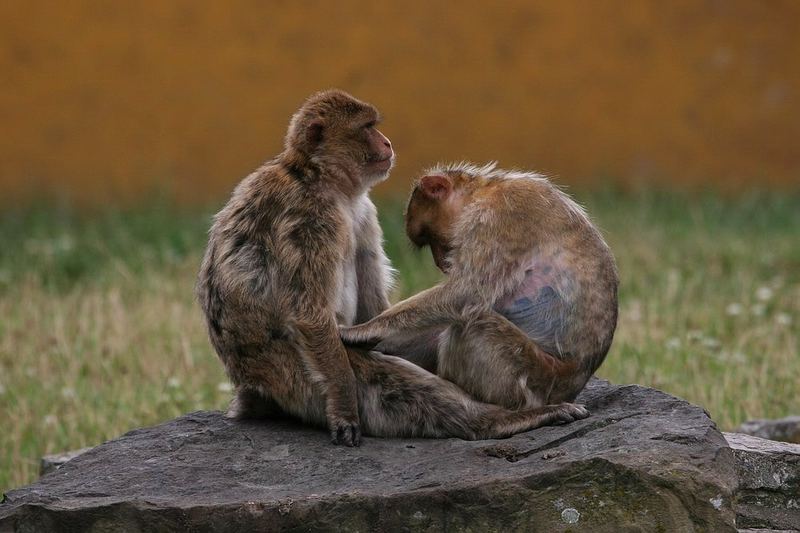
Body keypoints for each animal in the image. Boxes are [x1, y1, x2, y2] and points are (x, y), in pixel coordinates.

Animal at [197, 91, 592, 444]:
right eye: (367, 127)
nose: (387, 142)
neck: (318, 177)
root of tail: (252, 386)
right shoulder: (309, 217)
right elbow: (309, 314)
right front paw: (344, 405)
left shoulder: (362, 211)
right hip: (294, 376)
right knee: (388, 384)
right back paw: (500, 421)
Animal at [340, 162, 620, 412]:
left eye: (430, 237)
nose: (440, 262)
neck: (484, 190)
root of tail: (572, 385)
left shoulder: (502, 214)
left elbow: (465, 294)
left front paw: (364, 330)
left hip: (535, 377)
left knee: (473, 324)